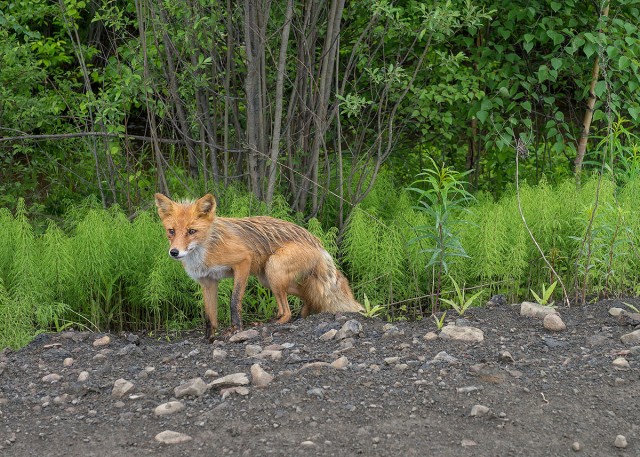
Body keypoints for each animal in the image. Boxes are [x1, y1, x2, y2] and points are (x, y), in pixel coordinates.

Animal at [154, 192, 362, 338]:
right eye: (171, 231)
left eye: (192, 231)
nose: (174, 252)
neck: (206, 249)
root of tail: (316, 241)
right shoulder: (208, 282)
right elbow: (209, 316)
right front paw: (210, 339)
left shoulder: (242, 262)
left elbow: (234, 301)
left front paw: (236, 329)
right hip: (268, 279)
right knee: (304, 295)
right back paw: (294, 316)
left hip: (273, 270)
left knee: (288, 311)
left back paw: (280, 322)